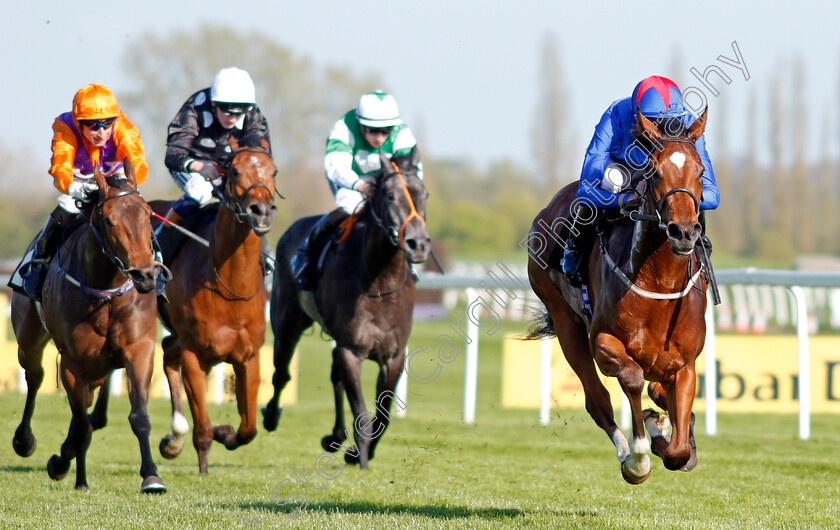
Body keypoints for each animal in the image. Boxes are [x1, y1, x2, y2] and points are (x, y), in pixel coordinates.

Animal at [10, 162, 166, 490]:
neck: (105, 292)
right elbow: (82, 422)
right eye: (108, 220)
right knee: (36, 376)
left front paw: (151, 475)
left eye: (147, 214)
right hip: (29, 340)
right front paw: (78, 478)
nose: (146, 275)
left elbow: (139, 415)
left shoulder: (139, 350)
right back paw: (26, 441)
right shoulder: (73, 362)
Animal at [154, 134, 278, 472]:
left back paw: (174, 437)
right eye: (234, 171)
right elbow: (204, 429)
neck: (231, 288)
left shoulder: (249, 357)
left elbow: (249, 427)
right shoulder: (195, 355)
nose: (261, 210)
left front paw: (227, 433)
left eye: (273, 171)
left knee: (167, 352)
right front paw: (204, 466)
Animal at [262, 144, 430, 466]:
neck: (379, 282)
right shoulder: (351, 350)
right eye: (390, 195)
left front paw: (357, 452)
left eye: (423, 194)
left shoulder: (393, 356)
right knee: (281, 373)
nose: (418, 244)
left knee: (333, 377)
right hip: (287, 323)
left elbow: (383, 416)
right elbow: (363, 416)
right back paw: (270, 416)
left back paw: (335, 436)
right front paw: (360, 457)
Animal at [528, 110, 712, 482]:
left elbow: (679, 451)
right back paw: (628, 449)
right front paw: (639, 455)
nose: (684, 232)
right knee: (597, 399)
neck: (661, 287)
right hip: (565, 320)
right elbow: (631, 378)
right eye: (655, 171)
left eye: (700, 171)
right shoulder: (604, 342)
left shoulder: (685, 364)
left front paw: (667, 434)